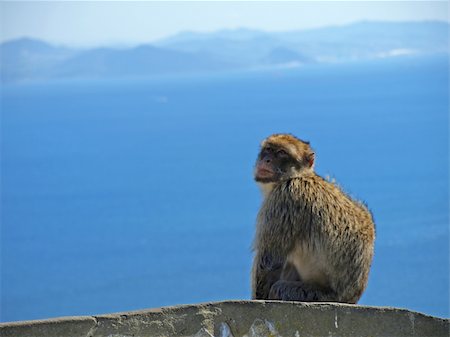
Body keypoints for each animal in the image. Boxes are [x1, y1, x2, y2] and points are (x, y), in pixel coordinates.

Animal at [251, 133, 374, 302]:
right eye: (268, 149)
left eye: (282, 153)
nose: (267, 159)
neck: (297, 176)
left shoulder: (285, 198)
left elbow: (270, 262)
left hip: (318, 295)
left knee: (278, 288)